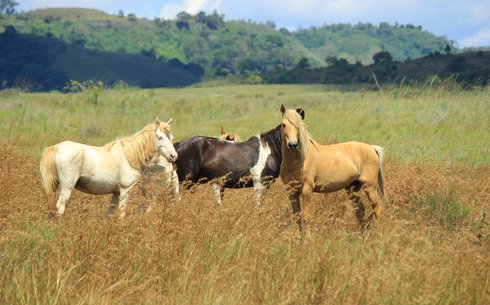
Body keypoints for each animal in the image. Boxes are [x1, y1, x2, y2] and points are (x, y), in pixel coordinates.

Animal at [39, 117, 178, 216]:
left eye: (171, 137)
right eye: (160, 137)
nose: (174, 156)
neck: (130, 156)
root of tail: (55, 148)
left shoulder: (116, 193)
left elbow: (110, 214)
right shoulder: (125, 190)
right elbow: (121, 213)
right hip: (67, 187)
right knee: (59, 208)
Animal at [278, 105, 384, 236]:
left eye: (299, 125)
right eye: (283, 124)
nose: (293, 145)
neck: (299, 160)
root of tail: (372, 148)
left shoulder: (307, 190)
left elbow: (307, 217)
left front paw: (308, 238)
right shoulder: (291, 191)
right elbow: (298, 217)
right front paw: (301, 238)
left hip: (370, 187)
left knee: (377, 209)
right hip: (352, 189)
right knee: (360, 211)